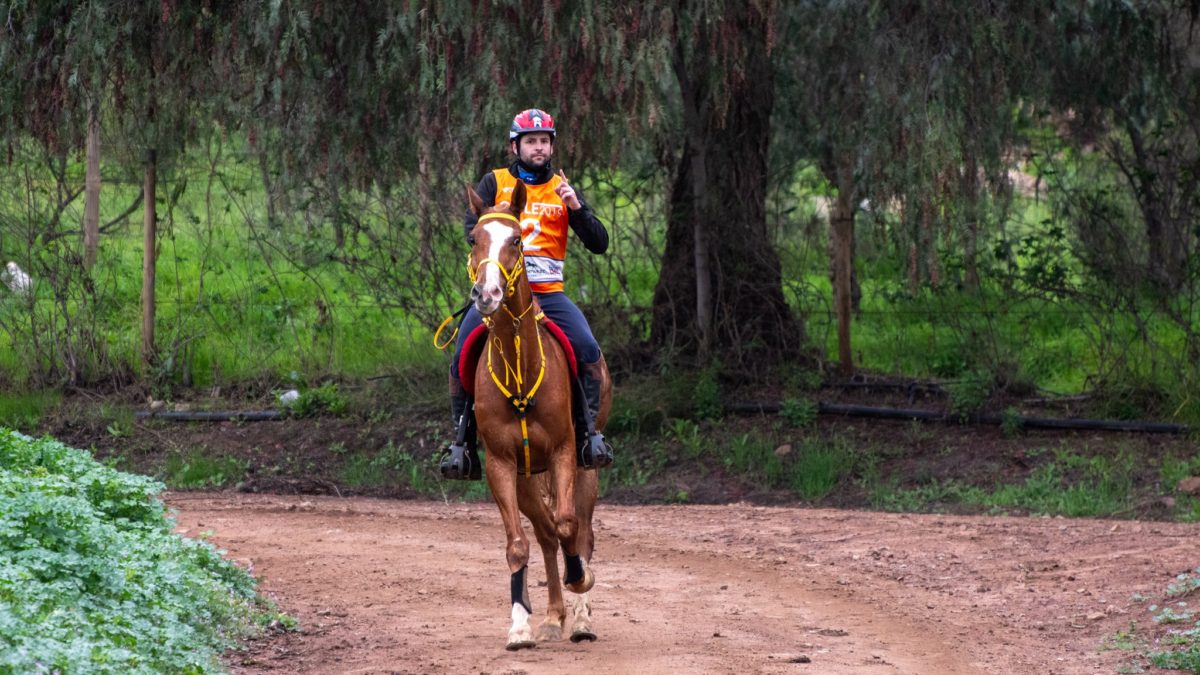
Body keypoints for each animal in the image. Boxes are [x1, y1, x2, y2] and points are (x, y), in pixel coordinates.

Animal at [458, 178, 609, 648]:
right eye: (474, 238)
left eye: (517, 240)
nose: (487, 295)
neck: (520, 368)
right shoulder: (501, 465)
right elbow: (519, 544)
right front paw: (520, 626)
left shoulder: (563, 453)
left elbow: (568, 526)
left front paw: (581, 584)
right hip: (527, 477)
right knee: (543, 535)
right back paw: (553, 615)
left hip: (585, 467)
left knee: (580, 531)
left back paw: (580, 617)